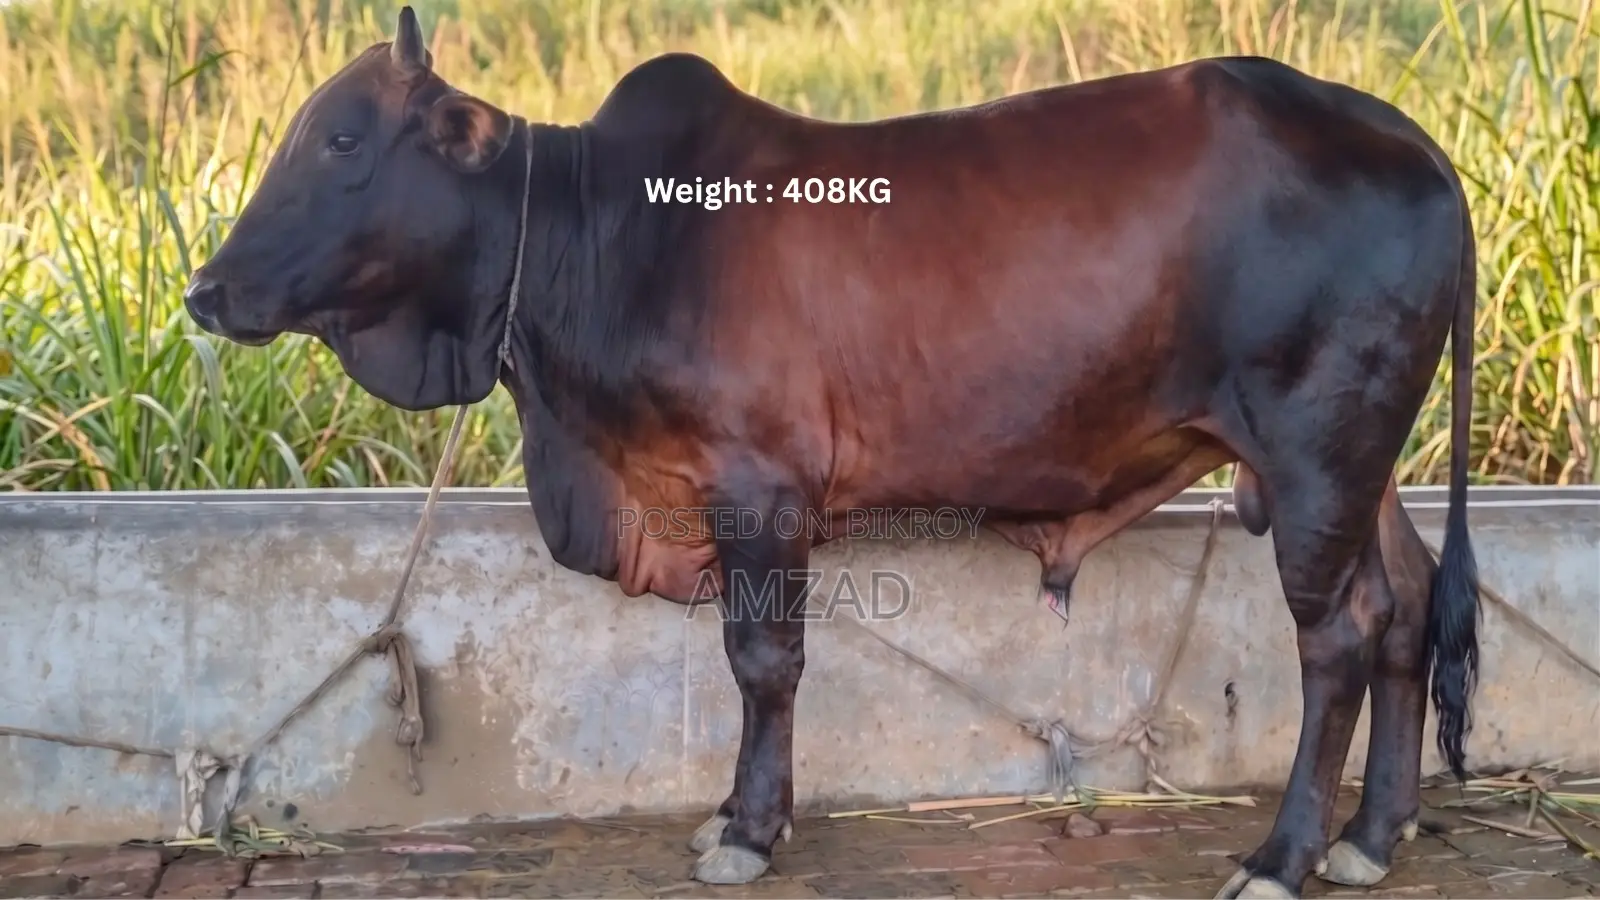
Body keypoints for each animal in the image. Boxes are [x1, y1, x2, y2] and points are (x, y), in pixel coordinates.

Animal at [182, 8, 1482, 897]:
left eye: (343, 139)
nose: (205, 289)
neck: (594, 237)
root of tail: (1405, 136)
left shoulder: (758, 488)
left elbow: (761, 661)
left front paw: (749, 833)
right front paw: (736, 817)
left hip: (1313, 452)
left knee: (1338, 638)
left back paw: (1283, 856)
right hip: (1363, 464)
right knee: (1407, 605)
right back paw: (1372, 837)